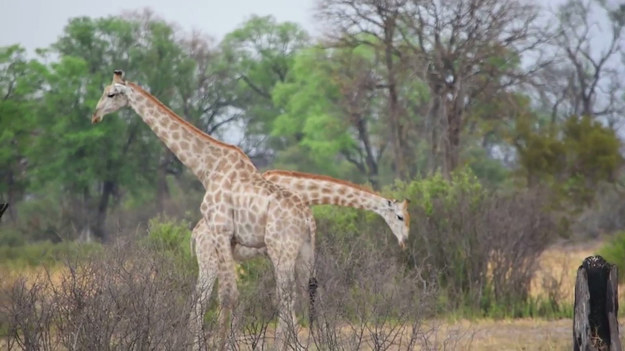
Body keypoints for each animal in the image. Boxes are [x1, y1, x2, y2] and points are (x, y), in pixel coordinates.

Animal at [91, 70, 316, 350]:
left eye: (110, 94)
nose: (95, 115)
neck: (207, 168)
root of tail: (308, 218)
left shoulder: (220, 231)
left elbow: (228, 295)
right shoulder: (230, 240)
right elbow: (226, 297)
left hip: (280, 250)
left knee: (286, 298)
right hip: (305, 253)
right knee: (303, 298)